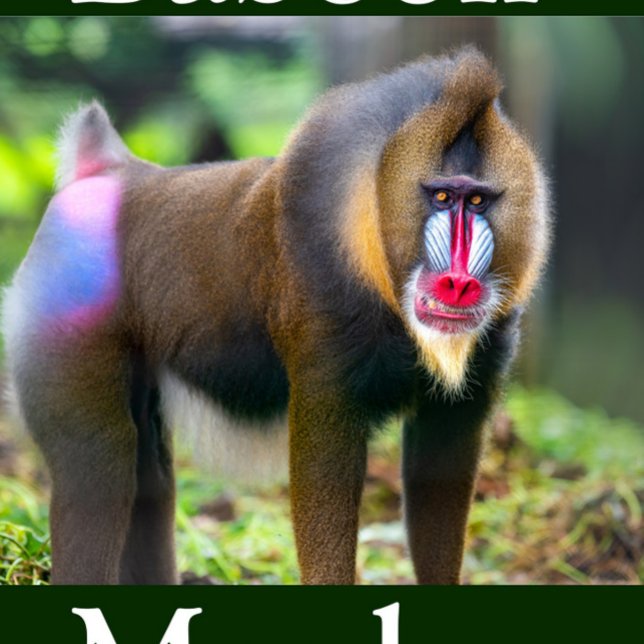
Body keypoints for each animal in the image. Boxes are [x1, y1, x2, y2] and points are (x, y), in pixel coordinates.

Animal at [1, 48, 550, 585]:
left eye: (476, 200)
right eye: (440, 196)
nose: (458, 282)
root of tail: (105, 172)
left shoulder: (466, 394)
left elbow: (439, 476)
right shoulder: (326, 372)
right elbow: (322, 478)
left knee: (149, 476)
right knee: (99, 464)